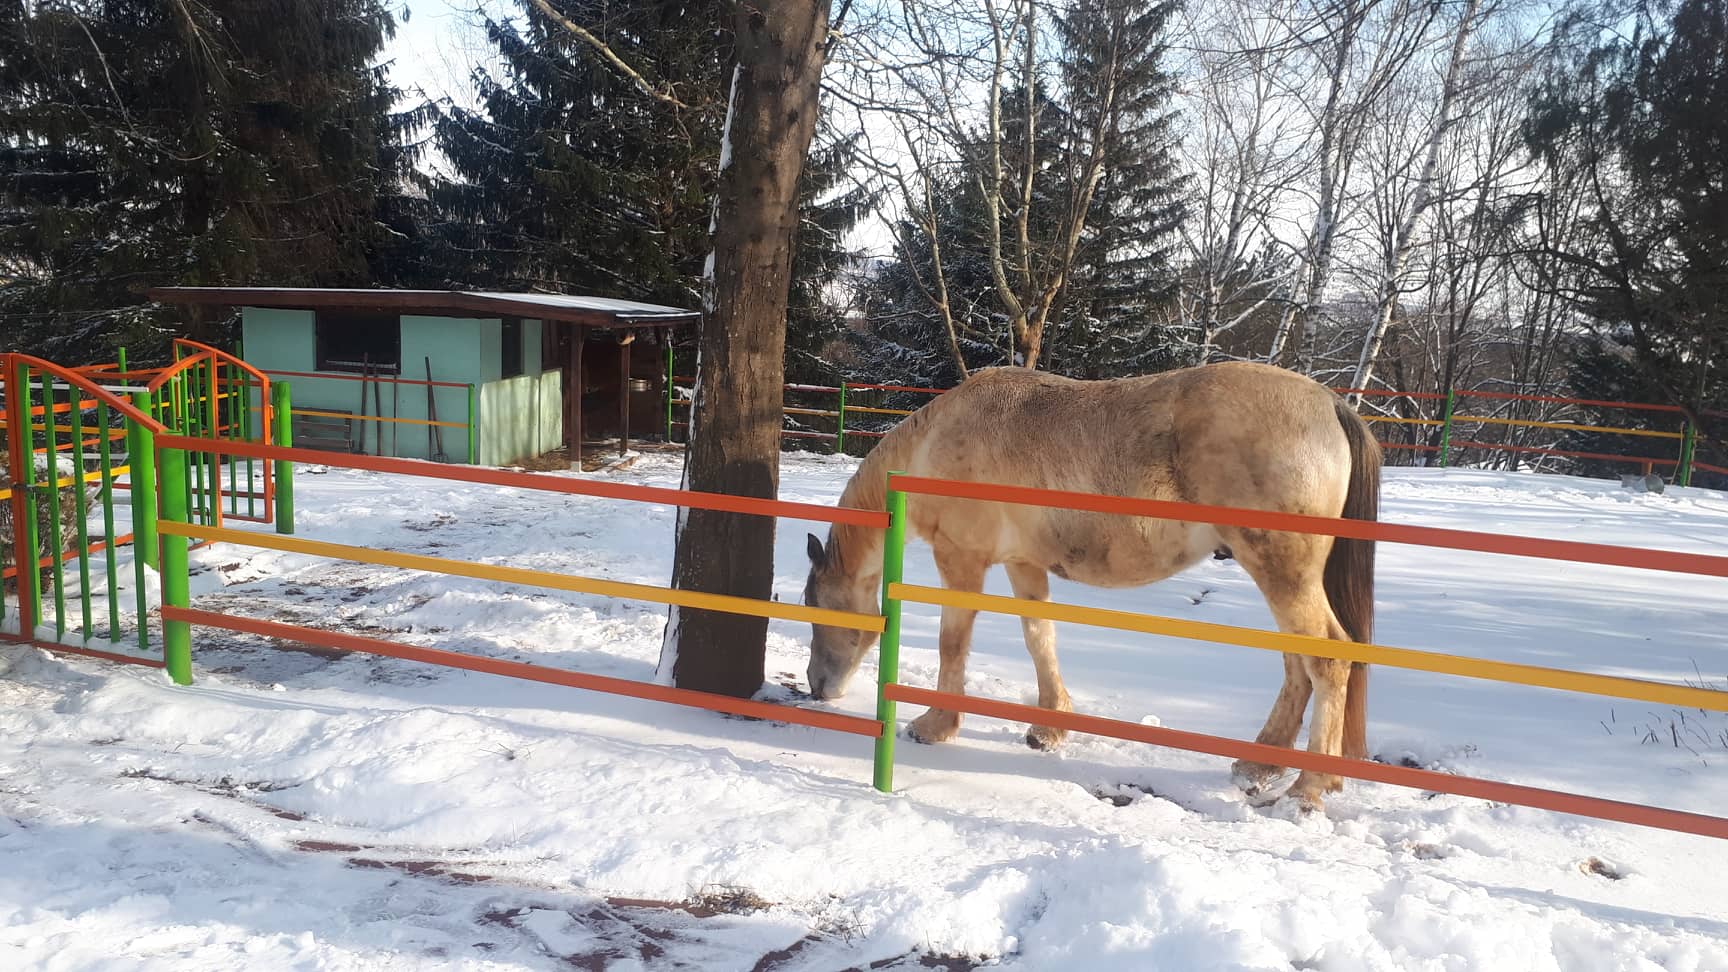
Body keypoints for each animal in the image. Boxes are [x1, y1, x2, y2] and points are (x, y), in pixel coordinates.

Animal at [801, 359, 1382, 805]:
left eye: (816, 608)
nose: (816, 687)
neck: (935, 442)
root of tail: (1330, 404)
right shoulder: (1023, 563)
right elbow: (1039, 636)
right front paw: (1050, 727)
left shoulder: (961, 561)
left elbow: (953, 644)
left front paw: (935, 725)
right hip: (1277, 574)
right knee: (1297, 663)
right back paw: (1261, 766)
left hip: (1282, 571)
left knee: (1327, 659)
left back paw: (1308, 788)